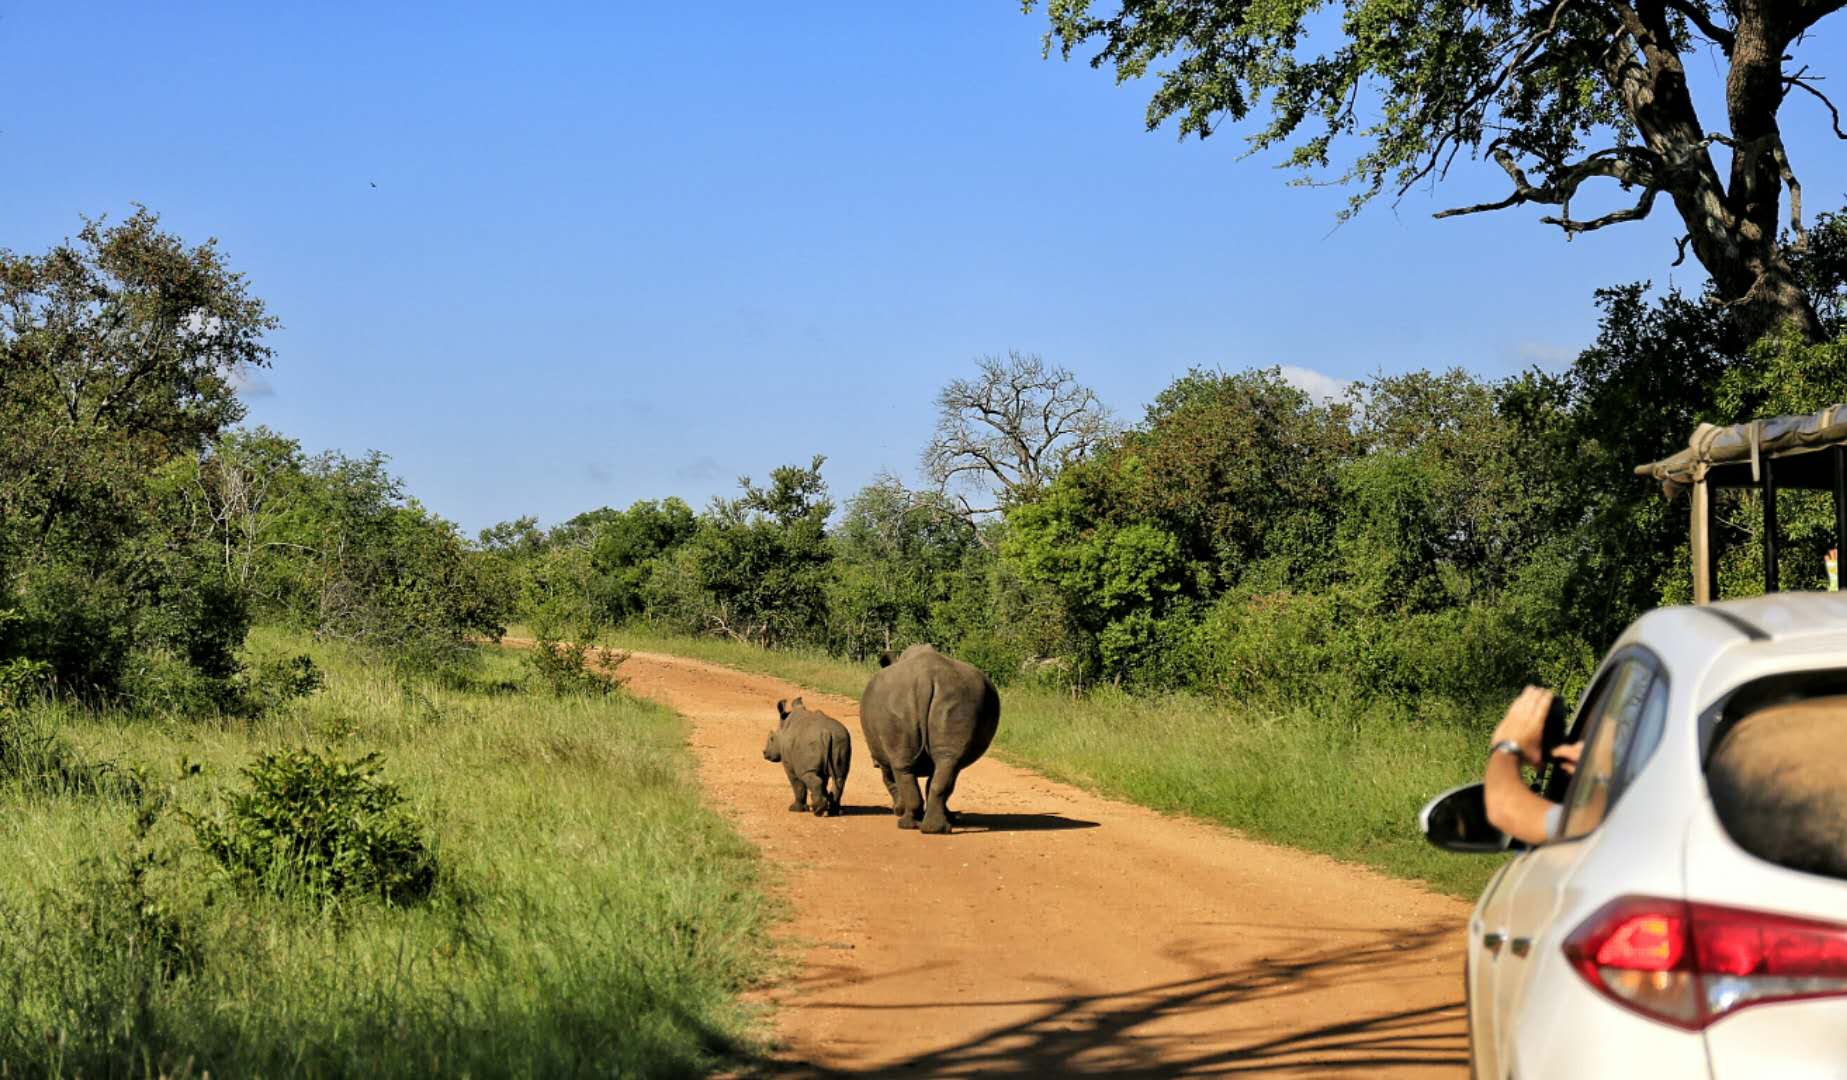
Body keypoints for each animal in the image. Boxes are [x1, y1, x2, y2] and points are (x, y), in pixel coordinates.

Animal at [860, 638, 1004, 834]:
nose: (873, 763)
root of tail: (924, 680)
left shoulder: (882, 759)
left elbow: (890, 780)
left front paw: (898, 809)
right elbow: (932, 781)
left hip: (900, 704)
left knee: (903, 768)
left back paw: (908, 824)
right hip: (955, 699)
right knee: (946, 763)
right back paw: (935, 828)